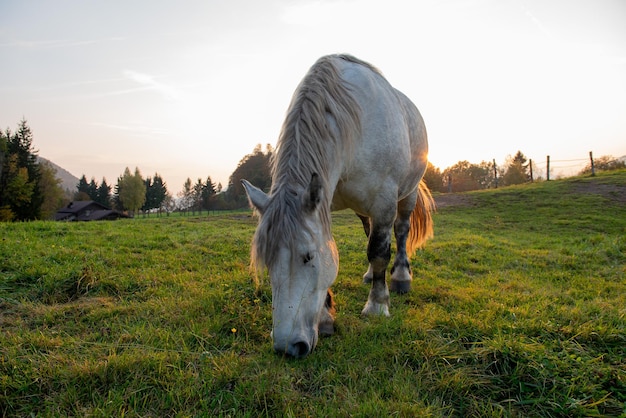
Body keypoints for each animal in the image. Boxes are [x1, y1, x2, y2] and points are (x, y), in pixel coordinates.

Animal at [241, 54, 432, 358]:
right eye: (267, 262)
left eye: (308, 257)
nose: (287, 346)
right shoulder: (324, 203)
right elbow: (349, 248)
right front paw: (325, 318)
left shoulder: (384, 201)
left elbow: (379, 252)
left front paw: (377, 305)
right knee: (369, 232)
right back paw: (370, 275)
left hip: (408, 193)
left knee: (400, 232)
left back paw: (401, 278)